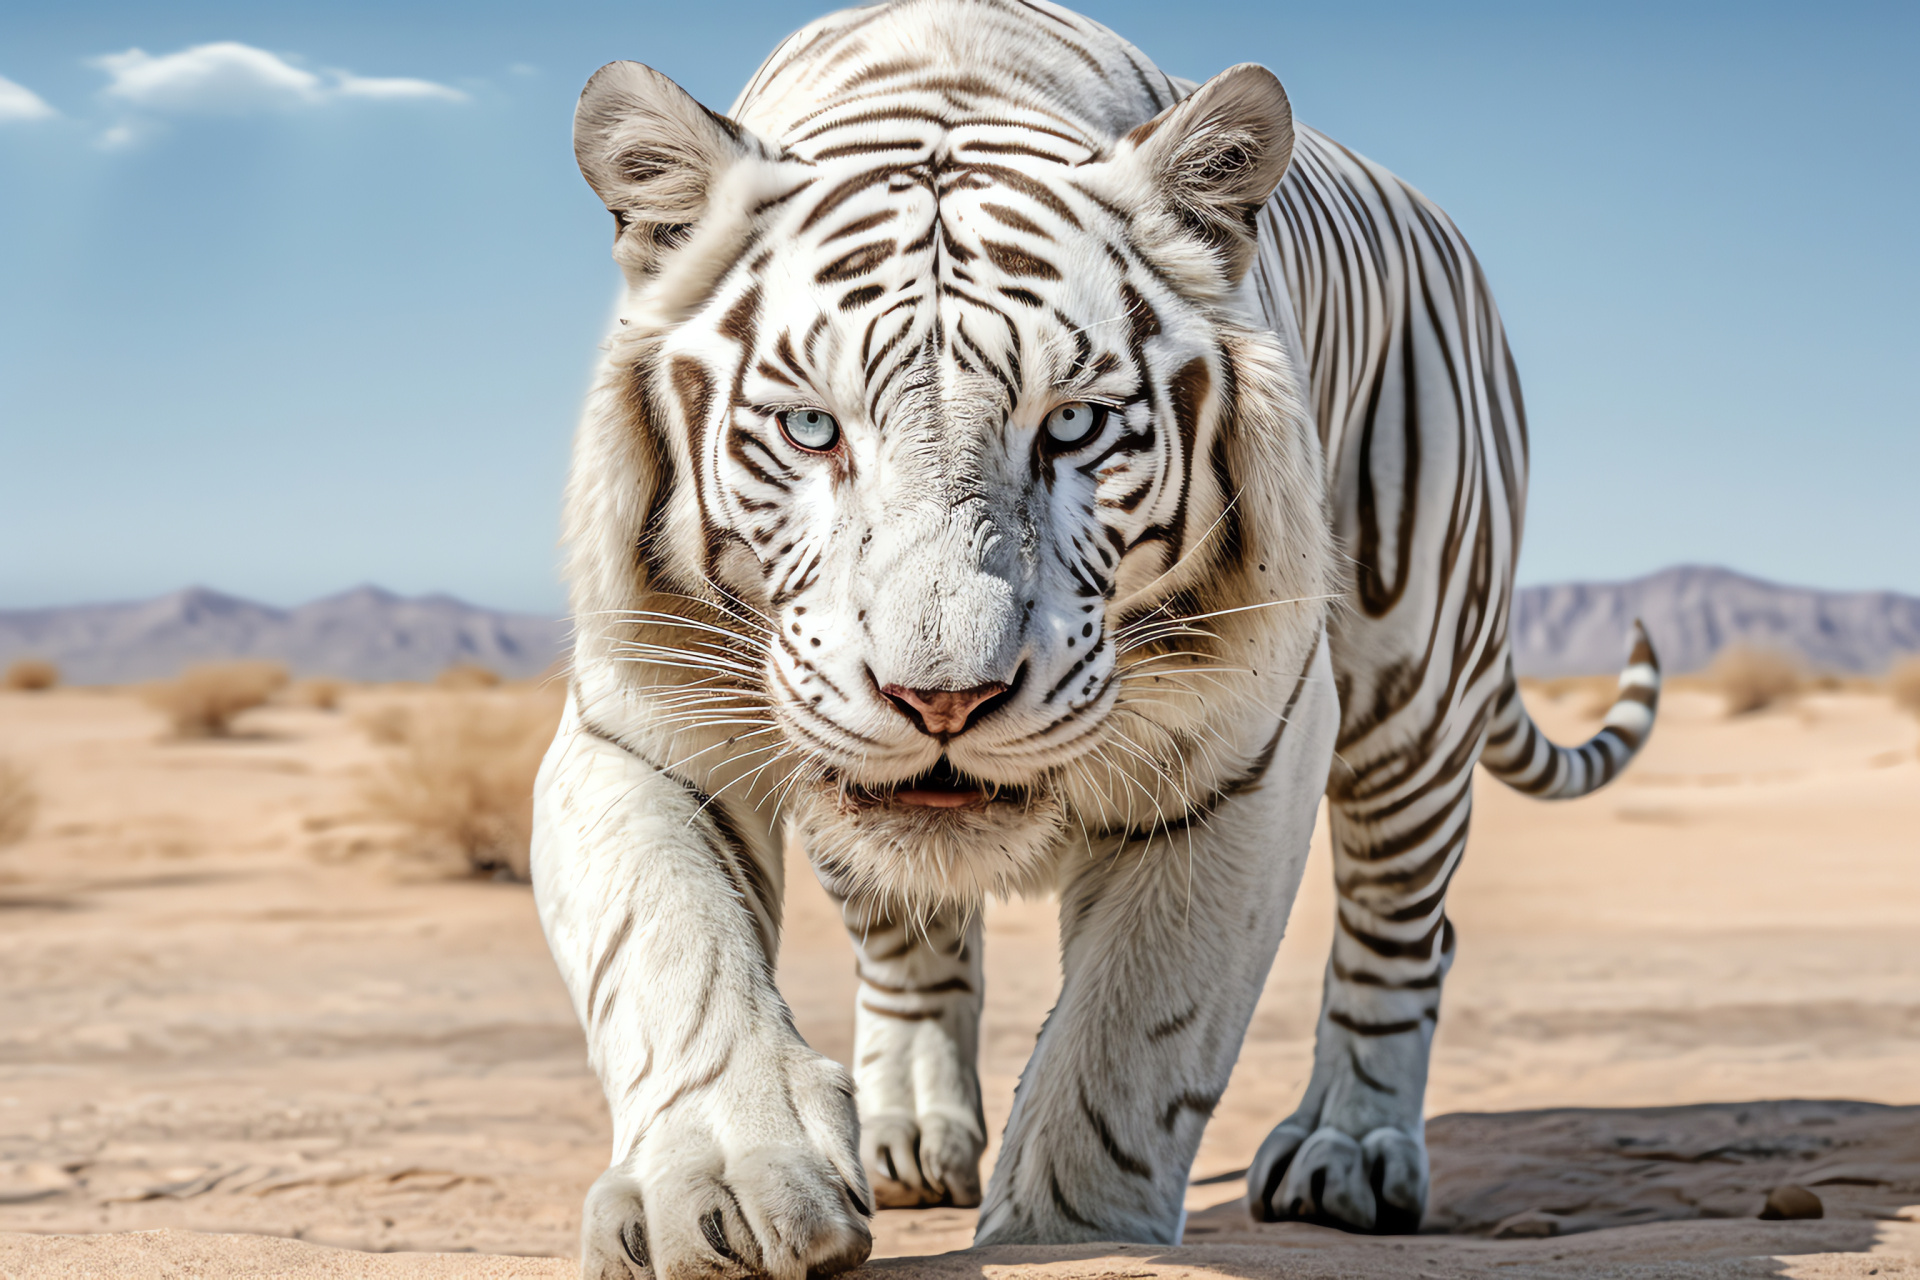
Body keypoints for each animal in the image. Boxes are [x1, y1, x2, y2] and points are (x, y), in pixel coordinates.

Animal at [533, 0, 1658, 1274]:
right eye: (813, 427)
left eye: (1072, 426)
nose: (943, 700)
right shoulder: (640, 720)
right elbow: (670, 945)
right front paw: (730, 1185)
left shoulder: (1246, 750)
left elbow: (1136, 1032)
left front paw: (1069, 1228)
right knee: (902, 933)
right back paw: (908, 1134)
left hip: (1415, 687)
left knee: (1402, 926)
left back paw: (1350, 1154)